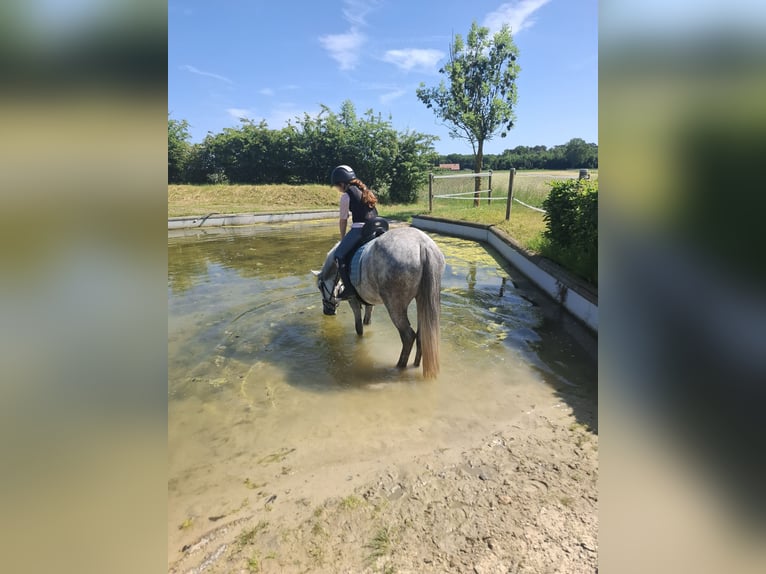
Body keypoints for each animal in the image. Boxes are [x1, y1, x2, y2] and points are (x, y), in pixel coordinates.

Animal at [312, 227, 446, 379]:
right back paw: (416, 364)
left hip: (394, 305)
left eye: (319, 286)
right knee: (421, 335)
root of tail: (422, 244)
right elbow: (367, 321)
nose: (327, 311)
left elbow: (359, 328)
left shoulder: (353, 301)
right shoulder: (370, 303)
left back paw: (399, 367)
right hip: (421, 301)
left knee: (408, 336)